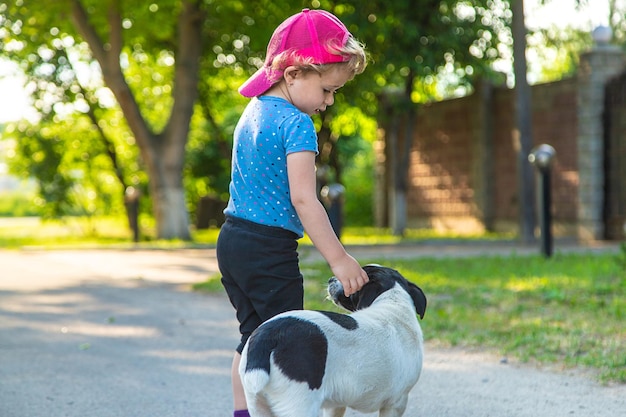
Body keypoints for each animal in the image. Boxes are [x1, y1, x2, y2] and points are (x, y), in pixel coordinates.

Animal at [238, 264, 424, 414]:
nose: (332, 278)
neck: (393, 302)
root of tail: (269, 335)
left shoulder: (336, 405)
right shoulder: (396, 403)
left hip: (258, 405)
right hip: (301, 405)